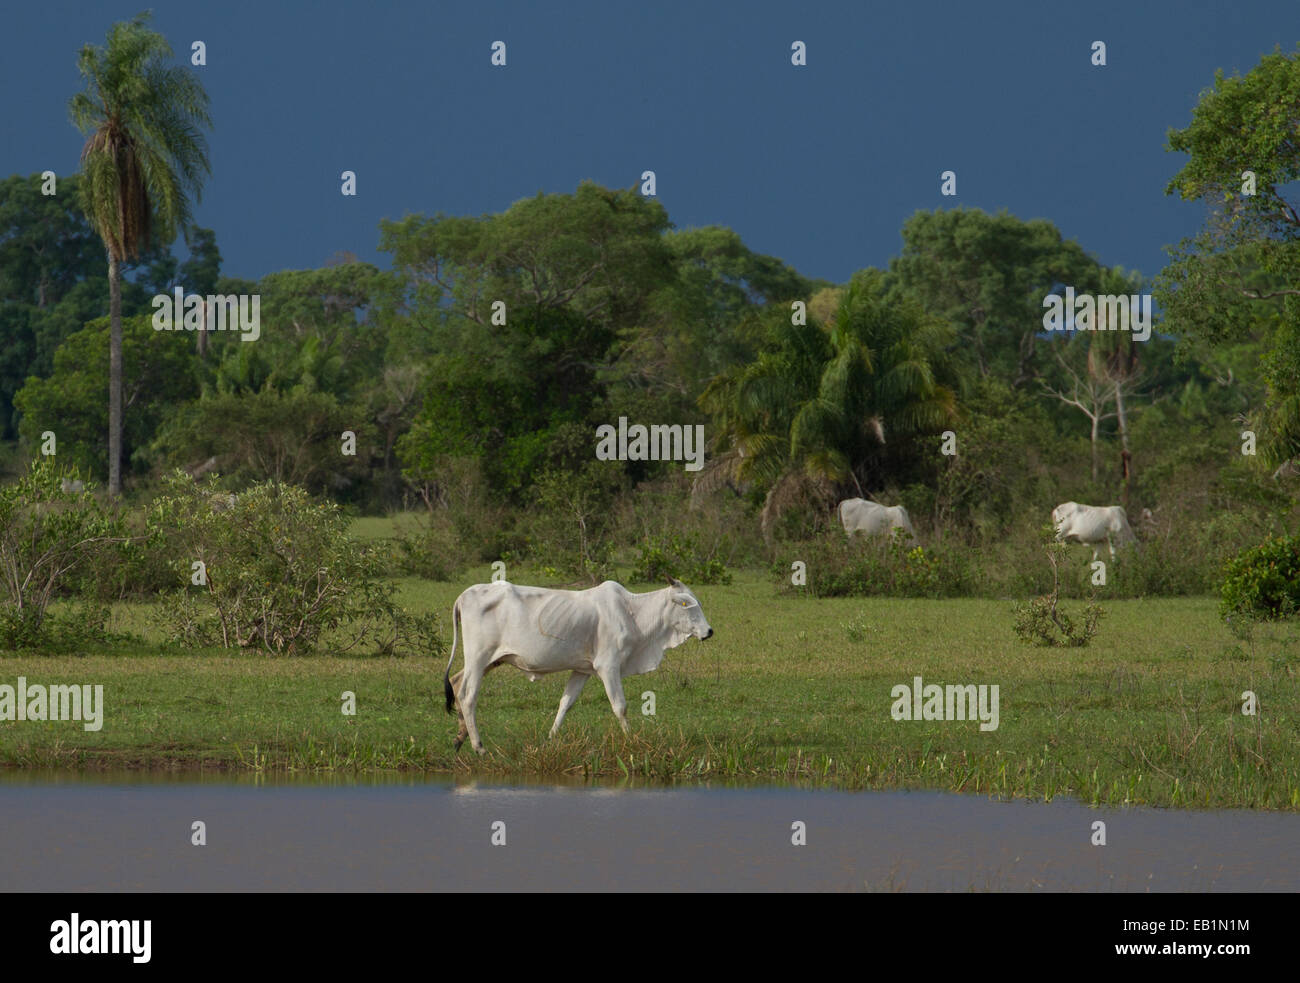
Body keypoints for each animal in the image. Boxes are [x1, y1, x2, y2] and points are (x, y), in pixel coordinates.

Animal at [444, 574, 712, 754]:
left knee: (456, 682)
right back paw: (478, 747)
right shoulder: (608, 666)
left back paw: (459, 739)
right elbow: (620, 706)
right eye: (687, 604)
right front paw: (630, 739)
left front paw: (551, 738)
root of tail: (463, 596)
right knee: (468, 695)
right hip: (479, 657)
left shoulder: (582, 670)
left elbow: (565, 704)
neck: (633, 613)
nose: (709, 631)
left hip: (489, 661)